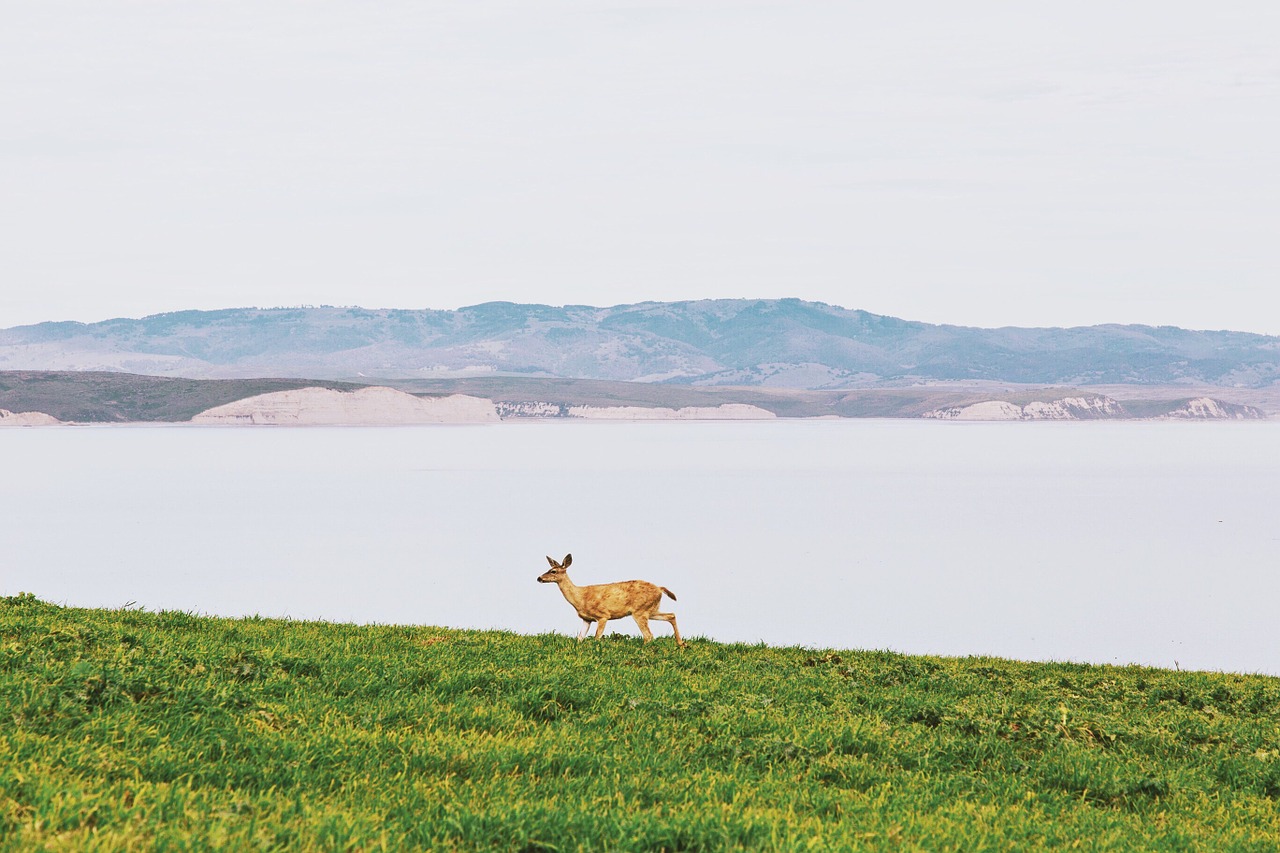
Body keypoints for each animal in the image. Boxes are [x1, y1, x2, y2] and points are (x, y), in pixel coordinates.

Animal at [535, 550, 686, 645]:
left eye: (553, 571)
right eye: (549, 569)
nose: (539, 578)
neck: (580, 598)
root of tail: (660, 589)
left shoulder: (603, 615)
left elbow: (596, 637)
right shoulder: (586, 619)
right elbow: (579, 638)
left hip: (640, 611)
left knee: (649, 636)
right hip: (651, 610)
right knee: (671, 615)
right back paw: (681, 644)